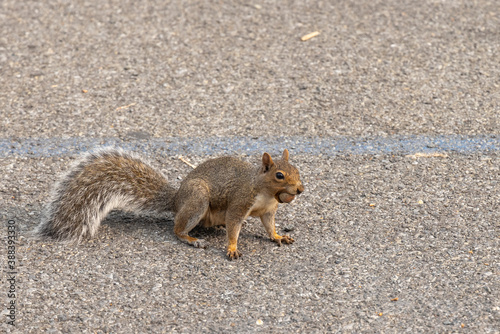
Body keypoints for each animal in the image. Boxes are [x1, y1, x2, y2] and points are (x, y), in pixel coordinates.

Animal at [36, 147, 304, 260]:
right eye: (279, 175)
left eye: (297, 170)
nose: (300, 189)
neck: (265, 192)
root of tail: (177, 200)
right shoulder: (240, 203)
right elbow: (234, 225)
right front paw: (231, 247)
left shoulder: (268, 212)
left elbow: (269, 226)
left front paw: (279, 236)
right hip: (197, 200)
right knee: (177, 229)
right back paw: (192, 239)